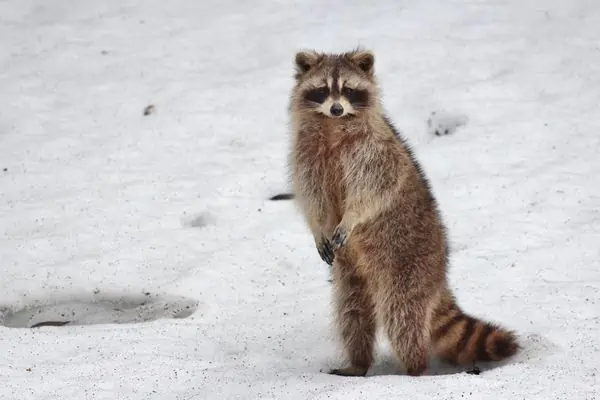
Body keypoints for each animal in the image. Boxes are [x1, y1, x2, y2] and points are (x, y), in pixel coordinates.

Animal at [288, 48, 516, 376]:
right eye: (323, 89)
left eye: (347, 90)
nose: (336, 108)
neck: (332, 127)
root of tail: (439, 275)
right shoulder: (306, 155)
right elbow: (313, 197)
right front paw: (319, 228)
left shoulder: (375, 152)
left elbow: (373, 190)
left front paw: (351, 218)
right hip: (352, 274)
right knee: (352, 312)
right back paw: (358, 363)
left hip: (408, 265)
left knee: (402, 315)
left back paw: (415, 368)